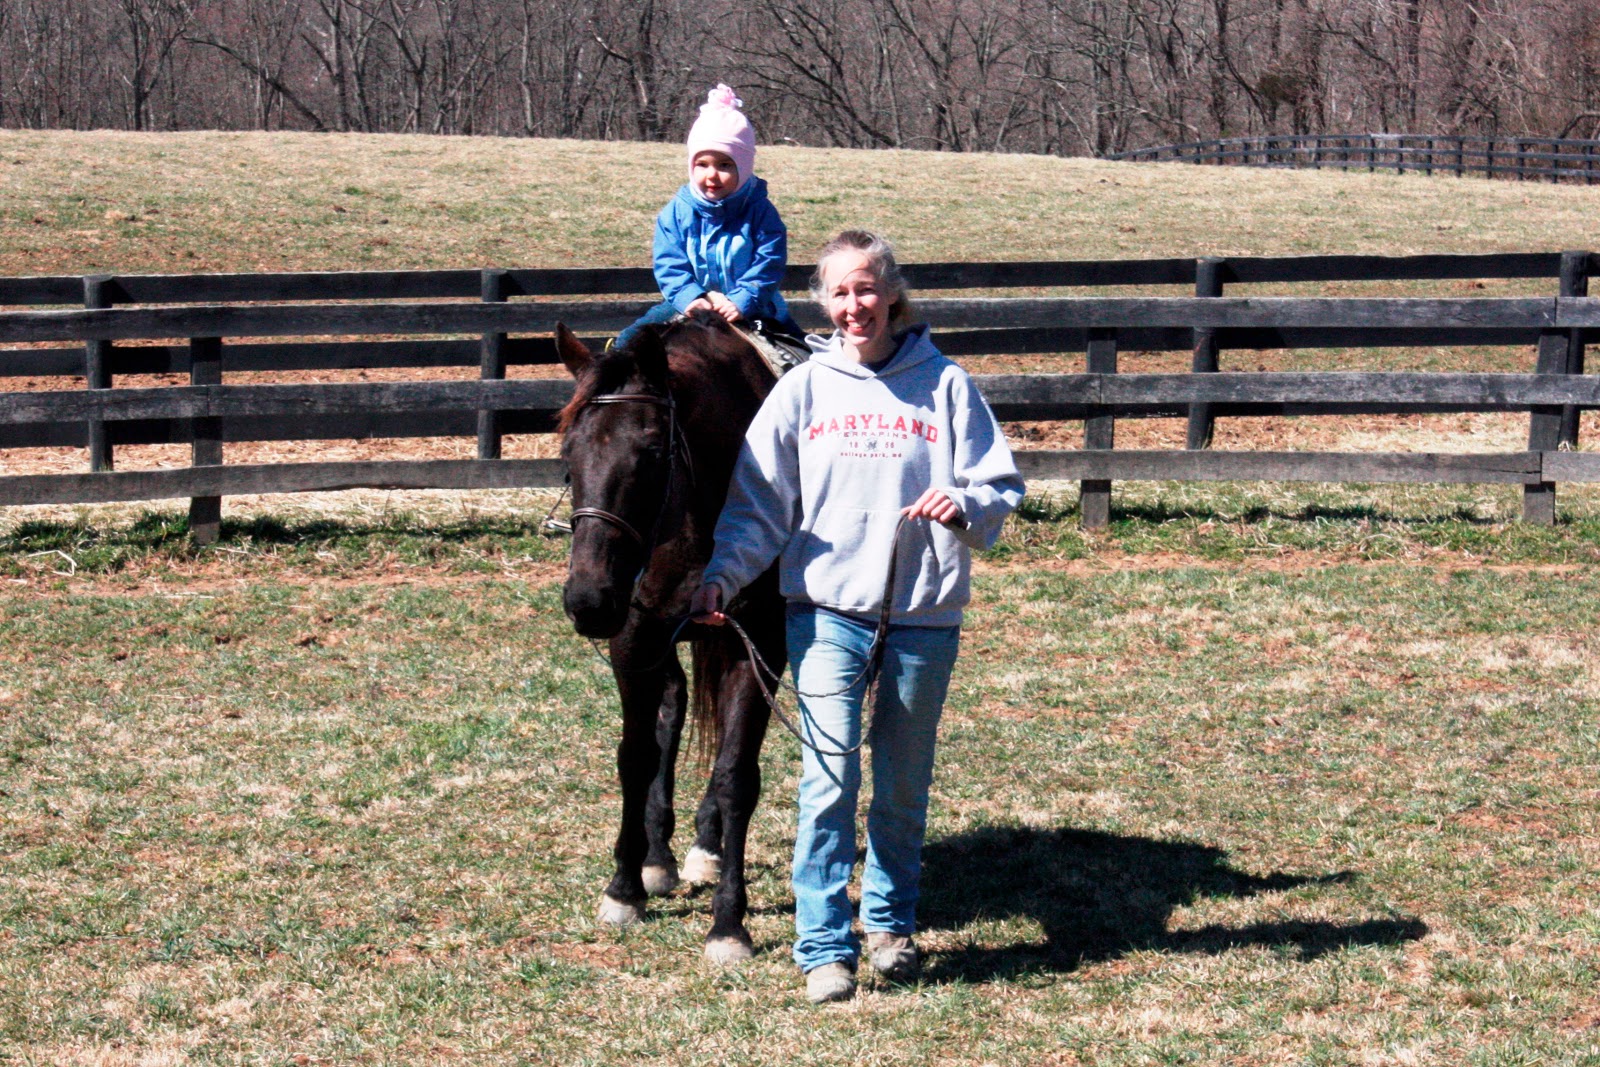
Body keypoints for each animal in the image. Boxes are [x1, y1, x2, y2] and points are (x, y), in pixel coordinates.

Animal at [554, 311, 787, 963]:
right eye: (568, 455)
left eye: (653, 451)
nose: (587, 600)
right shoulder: (633, 640)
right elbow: (637, 755)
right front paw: (625, 887)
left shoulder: (757, 643)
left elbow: (736, 776)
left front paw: (729, 924)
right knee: (673, 708)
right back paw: (659, 858)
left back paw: (706, 848)